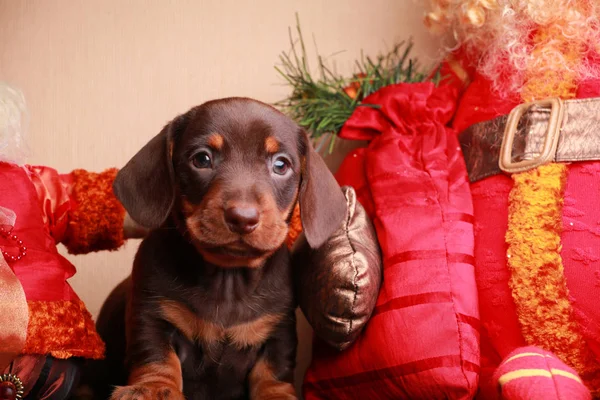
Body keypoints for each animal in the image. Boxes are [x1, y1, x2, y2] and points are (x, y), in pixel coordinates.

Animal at [103, 97, 346, 400]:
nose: (243, 218)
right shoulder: (152, 313)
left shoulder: (278, 331)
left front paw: (277, 394)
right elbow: (156, 355)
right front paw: (153, 388)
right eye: (202, 159)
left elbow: (273, 371)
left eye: (281, 164)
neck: (227, 279)